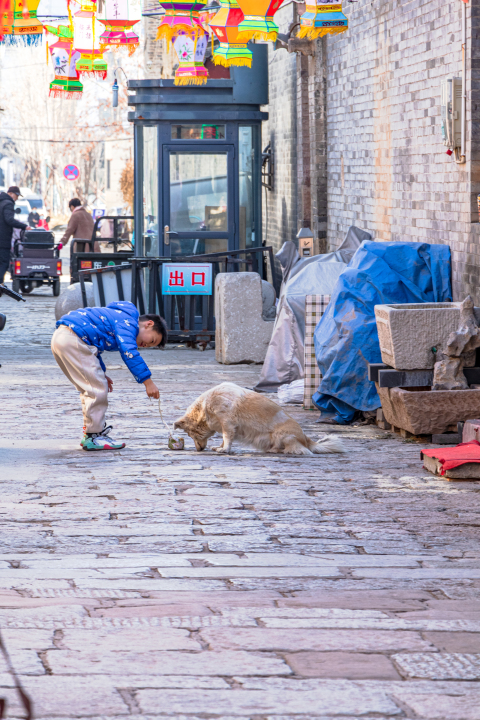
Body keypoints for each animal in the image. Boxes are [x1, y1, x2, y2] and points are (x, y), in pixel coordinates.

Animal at [172, 382, 344, 456]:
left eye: (190, 435)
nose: (198, 450)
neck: (205, 406)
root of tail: (306, 439)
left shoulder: (227, 422)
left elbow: (227, 437)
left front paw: (224, 449)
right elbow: (225, 438)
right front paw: (219, 447)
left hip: (283, 435)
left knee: (293, 449)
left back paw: (275, 449)